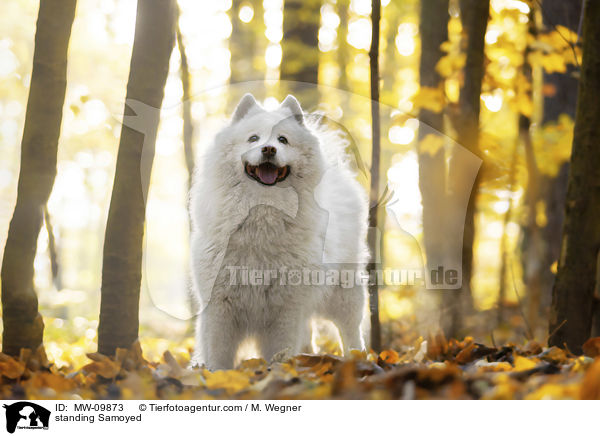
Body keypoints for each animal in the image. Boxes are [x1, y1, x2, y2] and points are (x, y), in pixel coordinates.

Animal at [191, 94, 370, 368]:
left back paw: (358, 359)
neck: (263, 215)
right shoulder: (220, 306)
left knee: (351, 331)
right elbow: (218, 355)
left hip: (344, 292)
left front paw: (278, 372)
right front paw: (217, 374)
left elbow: (279, 352)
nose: (269, 149)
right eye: (253, 138)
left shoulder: (285, 309)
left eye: (282, 139)